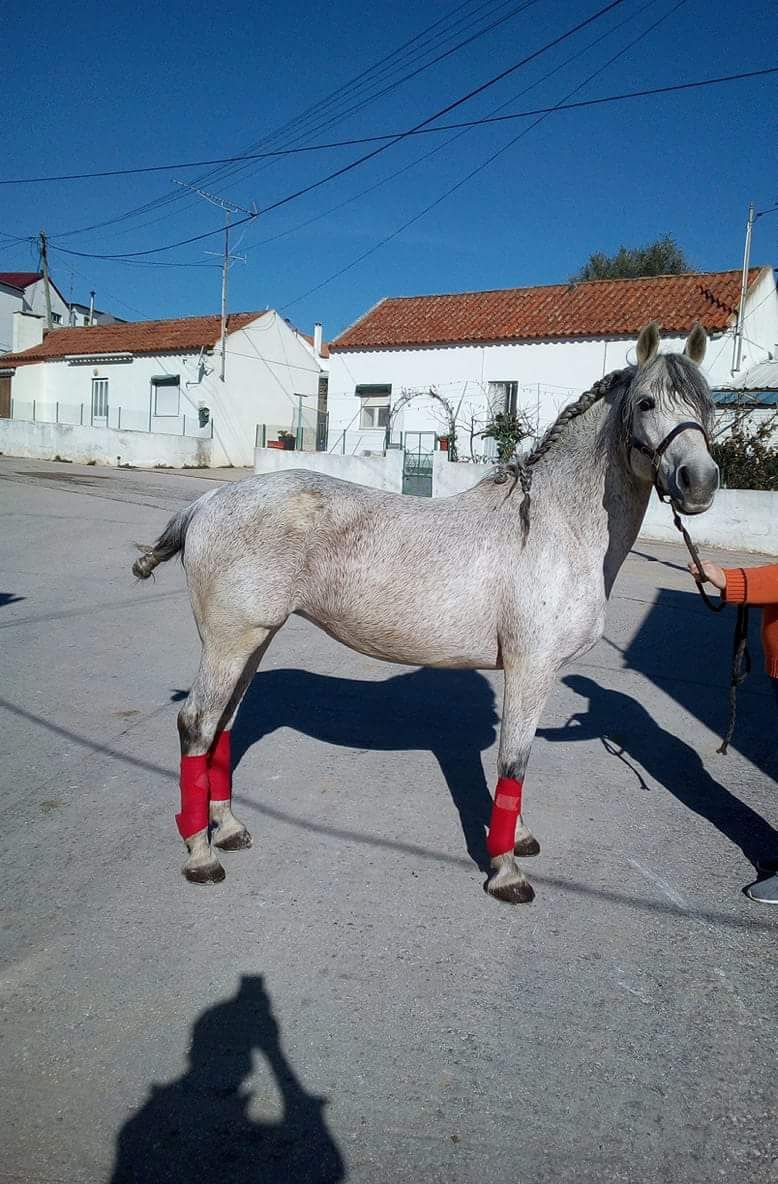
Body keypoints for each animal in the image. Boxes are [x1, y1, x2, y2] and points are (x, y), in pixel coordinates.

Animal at [132, 319, 715, 899]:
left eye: (707, 405)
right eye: (645, 402)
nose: (700, 482)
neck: (553, 528)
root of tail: (205, 504)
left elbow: (518, 761)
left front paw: (519, 839)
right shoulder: (531, 668)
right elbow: (514, 761)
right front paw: (506, 871)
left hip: (254, 640)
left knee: (224, 723)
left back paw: (228, 829)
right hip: (230, 642)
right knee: (197, 724)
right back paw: (202, 855)